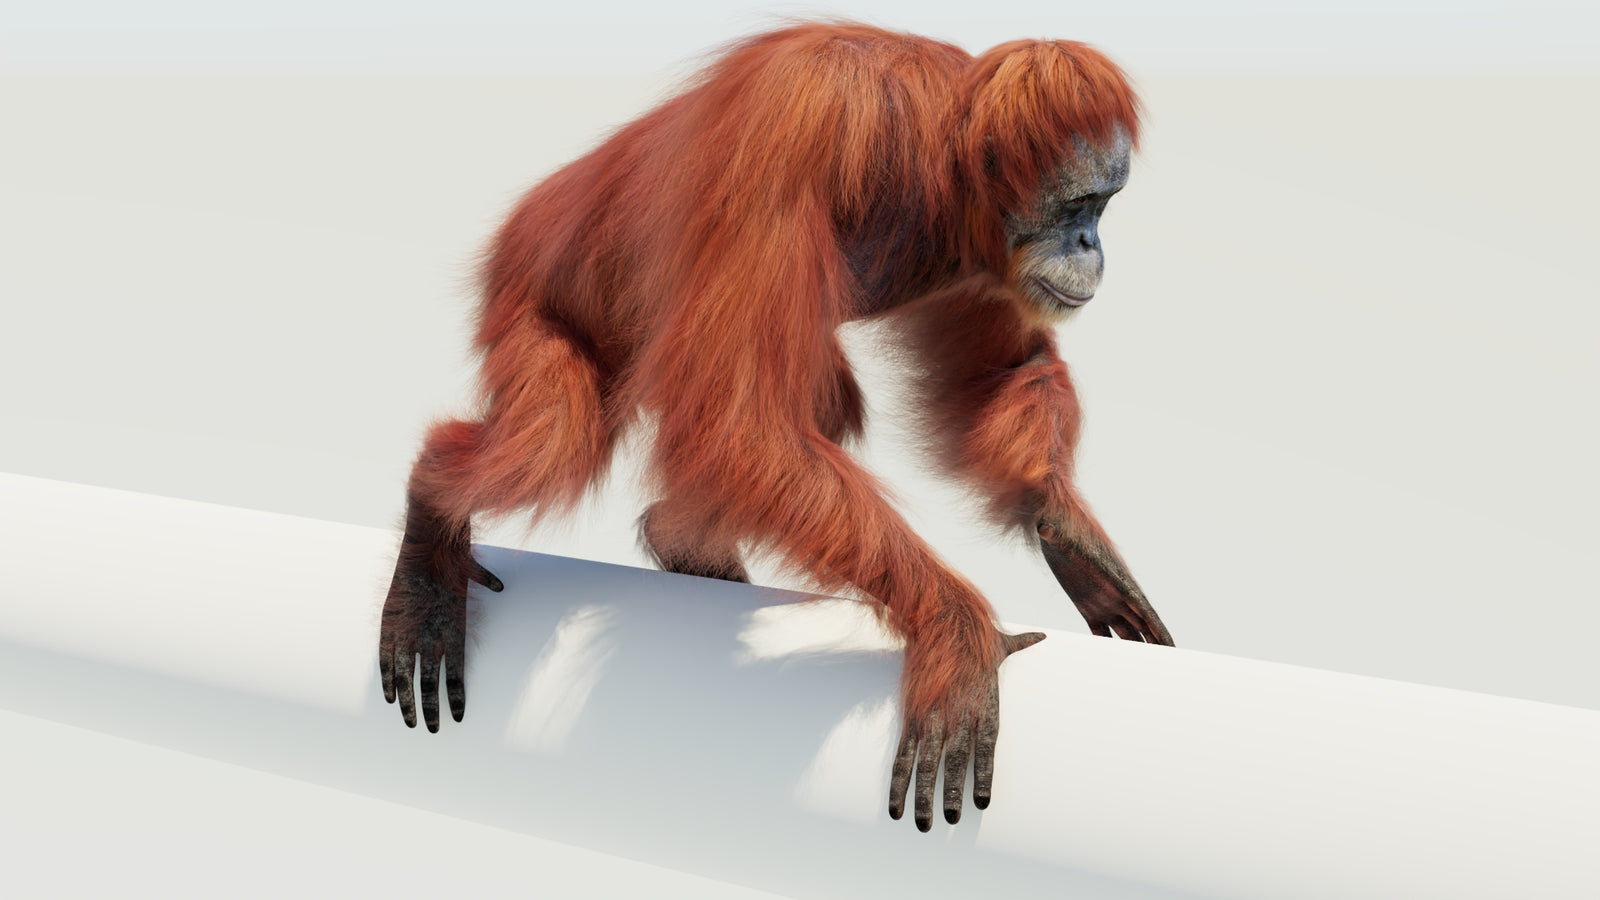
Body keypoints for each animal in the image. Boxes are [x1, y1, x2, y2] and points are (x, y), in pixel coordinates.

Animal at [379, 21, 1172, 833]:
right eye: (1079, 204)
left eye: (1104, 206)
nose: (1091, 246)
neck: (932, 154)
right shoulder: (799, 122)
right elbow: (739, 422)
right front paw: (954, 632)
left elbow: (999, 374)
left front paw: (1070, 535)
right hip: (528, 293)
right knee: (555, 446)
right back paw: (433, 522)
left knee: (814, 401)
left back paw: (680, 538)